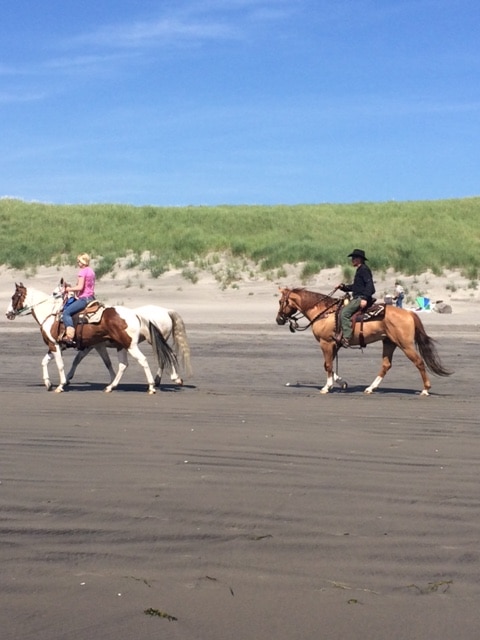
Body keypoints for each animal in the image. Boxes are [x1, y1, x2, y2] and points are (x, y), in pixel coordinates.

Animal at [5, 282, 178, 392]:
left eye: (14, 297)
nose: (7, 314)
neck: (50, 314)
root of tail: (135, 314)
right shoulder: (60, 345)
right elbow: (45, 361)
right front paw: (48, 383)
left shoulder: (54, 345)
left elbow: (60, 365)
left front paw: (61, 385)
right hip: (122, 346)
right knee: (124, 365)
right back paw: (110, 387)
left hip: (131, 345)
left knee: (144, 360)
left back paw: (152, 386)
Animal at [65, 304, 193, 388]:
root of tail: (167, 311)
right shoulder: (92, 346)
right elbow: (78, 359)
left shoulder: (97, 345)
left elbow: (105, 362)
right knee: (167, 355)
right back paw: (161, 380)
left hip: (154, 341)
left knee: (167, 355)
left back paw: (171, 379)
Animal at [276, 286, 452, 396]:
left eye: (280, 302)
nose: (278, 320)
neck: (324, 312)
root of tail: (409, 313)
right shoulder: (335, 344)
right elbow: (329, 365)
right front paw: (341, 383)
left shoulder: (325, 343)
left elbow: (328, 365)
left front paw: (327, 387)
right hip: (389, 343)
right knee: (386, 365)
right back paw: (370, 388)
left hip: (405, 345)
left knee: (419, 362)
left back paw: (425, 390)